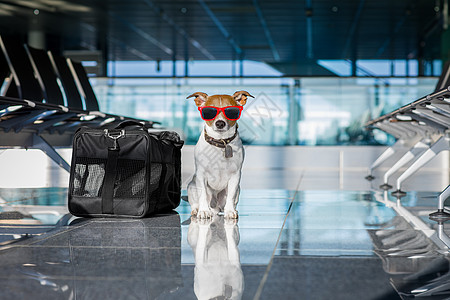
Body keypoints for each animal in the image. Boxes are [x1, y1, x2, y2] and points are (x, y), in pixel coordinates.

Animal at [185, 90, 251, 219]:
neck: (221, 142)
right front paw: (203, 211)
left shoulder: (235, 175)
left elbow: (231, 196)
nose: (220, 123)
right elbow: (203, 195)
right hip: (191, 186)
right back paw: (197, 210)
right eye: (209, 111)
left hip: (237, 189)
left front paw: (230, 211)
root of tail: (216, 208)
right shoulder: (201, 174)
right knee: (195, 202)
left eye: (231, 111)